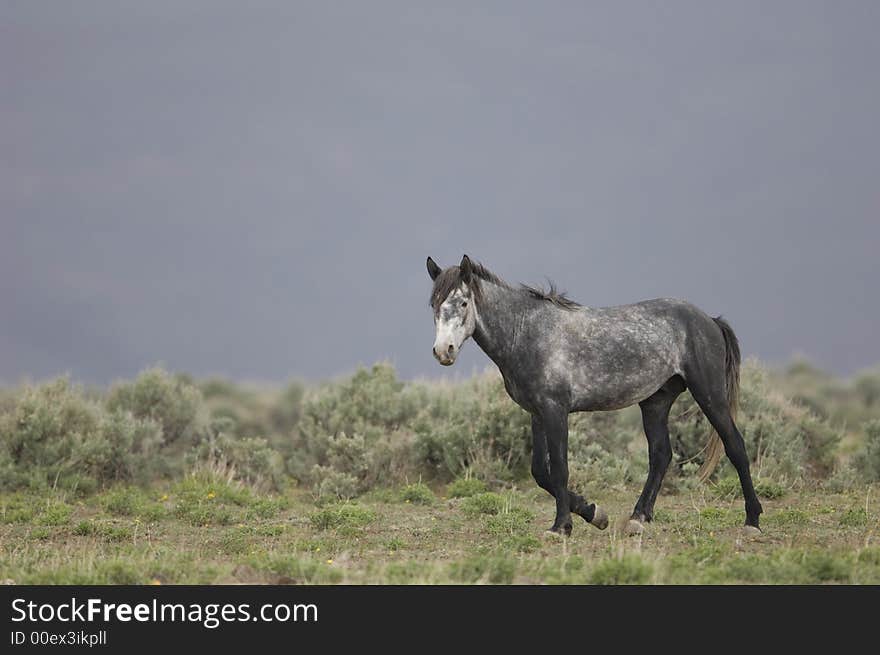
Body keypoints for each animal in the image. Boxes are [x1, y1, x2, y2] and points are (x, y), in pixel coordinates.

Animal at [426, 256, 764, 540]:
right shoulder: (537, 413)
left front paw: (561, 527)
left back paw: (752, 521)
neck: (527, 334)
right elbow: (540, 472)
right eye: (434, 304)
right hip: (655, 402)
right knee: (660, 455)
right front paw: (593, 514)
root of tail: (708, 320)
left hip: (709, 395)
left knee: (735, 446)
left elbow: (559, 469)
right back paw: (638, 519)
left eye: (463, 302)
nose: (444, 351)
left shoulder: (555, 411)